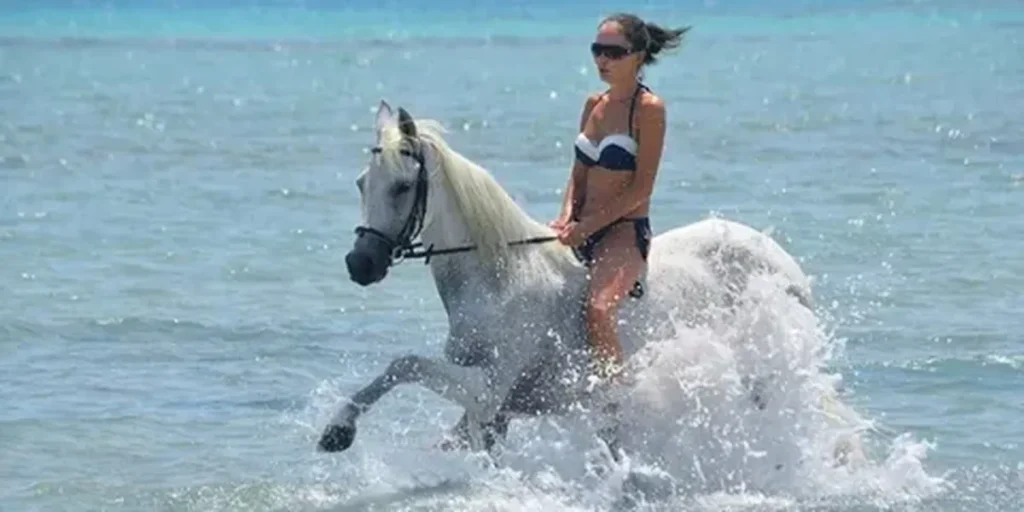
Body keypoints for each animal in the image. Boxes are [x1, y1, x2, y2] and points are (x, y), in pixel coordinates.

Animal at [317, 100, 829, 461]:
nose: (359, 264)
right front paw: (336, 432)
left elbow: (404, 364)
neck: (499, 280)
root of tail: (782, 262)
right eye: (362, 182)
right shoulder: (492, 411)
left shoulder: (487, 389)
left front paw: (340, 429)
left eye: (403, 186)